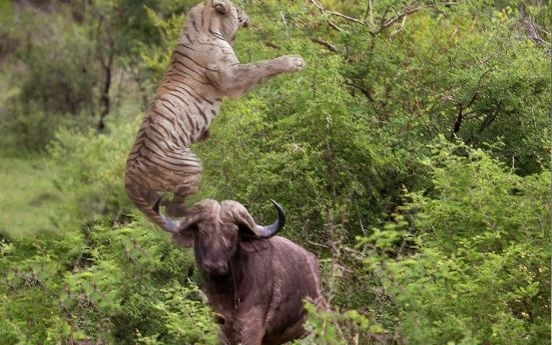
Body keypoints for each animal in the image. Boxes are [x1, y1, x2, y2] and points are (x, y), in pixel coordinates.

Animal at [124, 0, 306, 231]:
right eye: (236, 7)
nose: (245, 13)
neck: (203, 25)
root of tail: (129, 179)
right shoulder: (232, 77)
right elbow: (261, 66)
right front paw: (295, 61)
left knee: (164, 207)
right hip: (191, 166)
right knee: (174, 208)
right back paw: (205, 209)